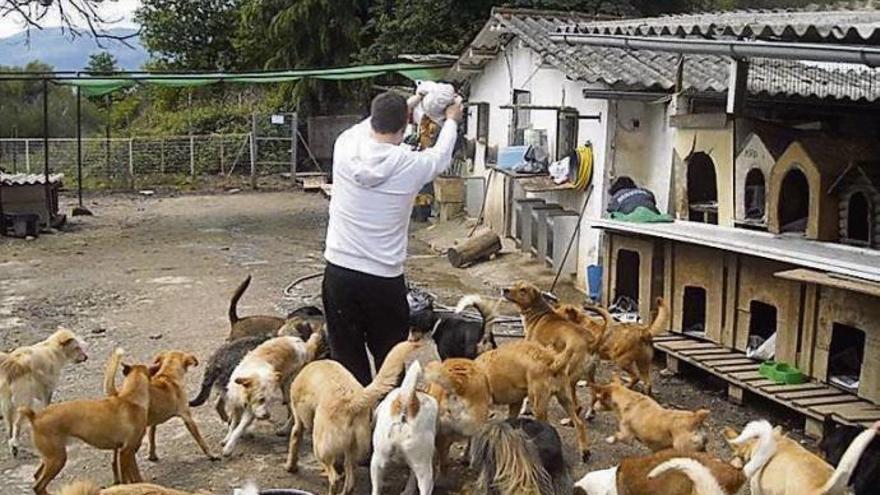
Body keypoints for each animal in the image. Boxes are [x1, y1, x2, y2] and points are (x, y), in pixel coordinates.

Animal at [22, 348, 150, 495]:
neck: (130, 398)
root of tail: (35, 416)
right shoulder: (127, 451)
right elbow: (135, 476)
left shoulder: (125, 451)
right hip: (57, 459)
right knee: (38, 485)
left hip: (50, 457)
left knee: (37, 476)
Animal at [223, 332, 324, 460]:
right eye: (261, 399)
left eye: (270, 401)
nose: (267, 416)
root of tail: (303, 344)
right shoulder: (236, 404)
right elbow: (233, 425)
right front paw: (227, 438)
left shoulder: (251, 413)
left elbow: (239, 429)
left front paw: (229, 448)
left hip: (288, 388)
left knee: (293, 413)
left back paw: (285, 429)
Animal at [502, 280, 604, 416]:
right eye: (515, 284)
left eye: (523, 289)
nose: (504, 289)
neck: (538, 313)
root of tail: (590, 341)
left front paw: (526, 408)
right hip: (590, 374)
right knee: (593, 395)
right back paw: (590, 413)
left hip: (569, 377)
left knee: (577, 406)